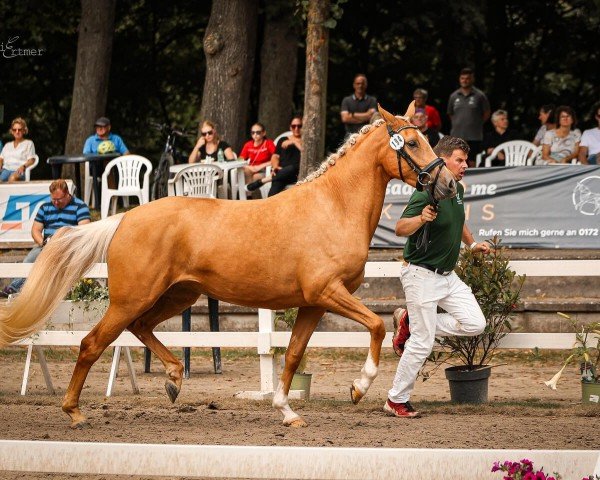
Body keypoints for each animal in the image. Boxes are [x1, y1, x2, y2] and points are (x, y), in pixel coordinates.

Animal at [0, 105, 454, 428]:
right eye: (412, 144)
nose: (449, 185)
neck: (333, 207)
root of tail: (123, 219)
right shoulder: (328, 292)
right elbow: (376, 326)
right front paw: (358, 387)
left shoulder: (313, 303)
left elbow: (293, 354)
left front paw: (287, 412)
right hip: (134, 298)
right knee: (92, 343)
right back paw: (75, 411)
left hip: (178, 295)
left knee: (141, 329)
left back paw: (173, 380)